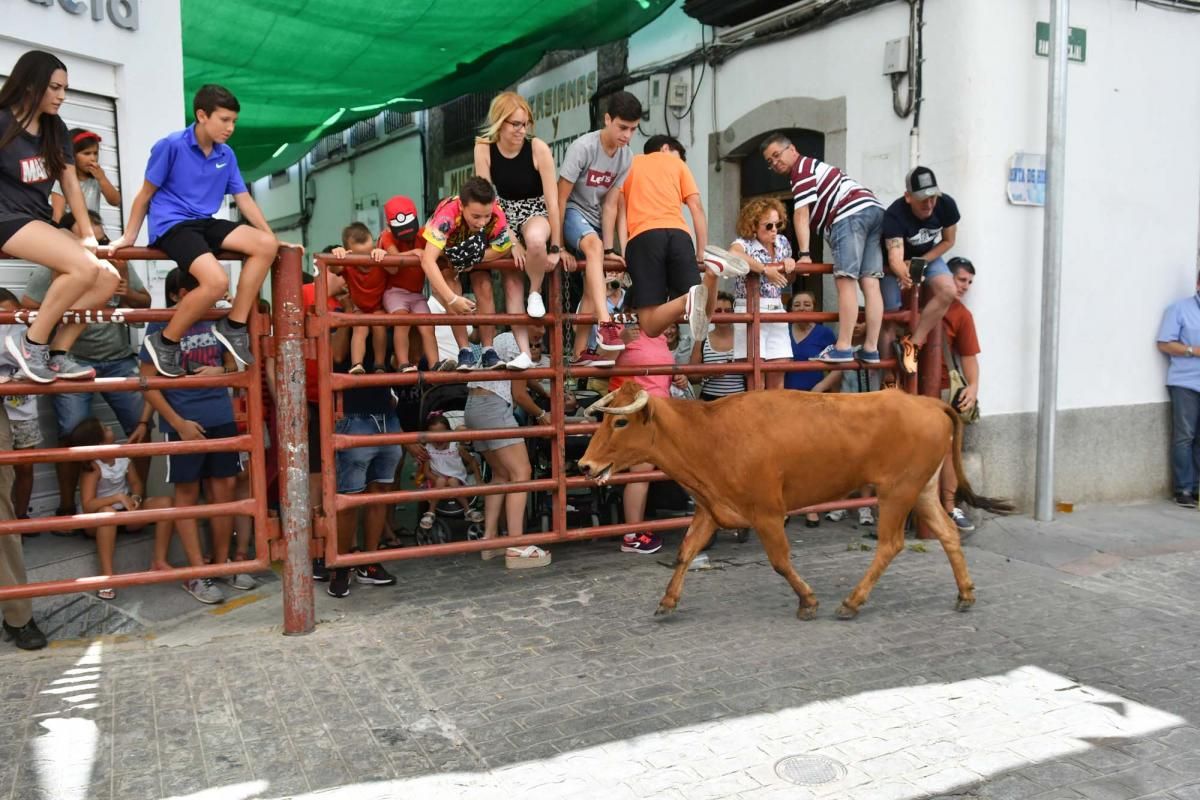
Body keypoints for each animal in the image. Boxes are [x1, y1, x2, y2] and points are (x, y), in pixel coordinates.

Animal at [576, 383, 1008, 623]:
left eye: (619, 421)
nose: (584, 465)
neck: (709, 433)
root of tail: (928, 403)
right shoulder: (710, 509)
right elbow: (685, 553)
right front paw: (667, 601)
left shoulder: (767, 513)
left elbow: (781, 561)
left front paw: (808, 600)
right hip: (921, 489)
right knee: (948, 534)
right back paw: (965, 594)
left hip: (897, 491)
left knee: (891, 543)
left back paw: (851, 602)